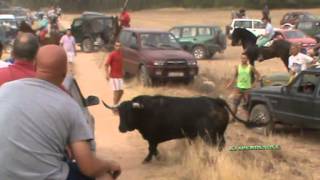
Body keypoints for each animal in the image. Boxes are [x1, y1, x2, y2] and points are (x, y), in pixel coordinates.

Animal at [102, 95, 250, 163]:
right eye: (119, 113)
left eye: (129, 113)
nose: (121, 128)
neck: (145, 111)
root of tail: (216, 100)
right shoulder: (152, 138)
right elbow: (153, 149)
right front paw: (157, 157)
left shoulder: (152, 137)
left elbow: (151, 148)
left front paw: (148, 159)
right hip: (219, 134)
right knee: (221, 145)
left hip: (209, 136)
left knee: (215, 146)